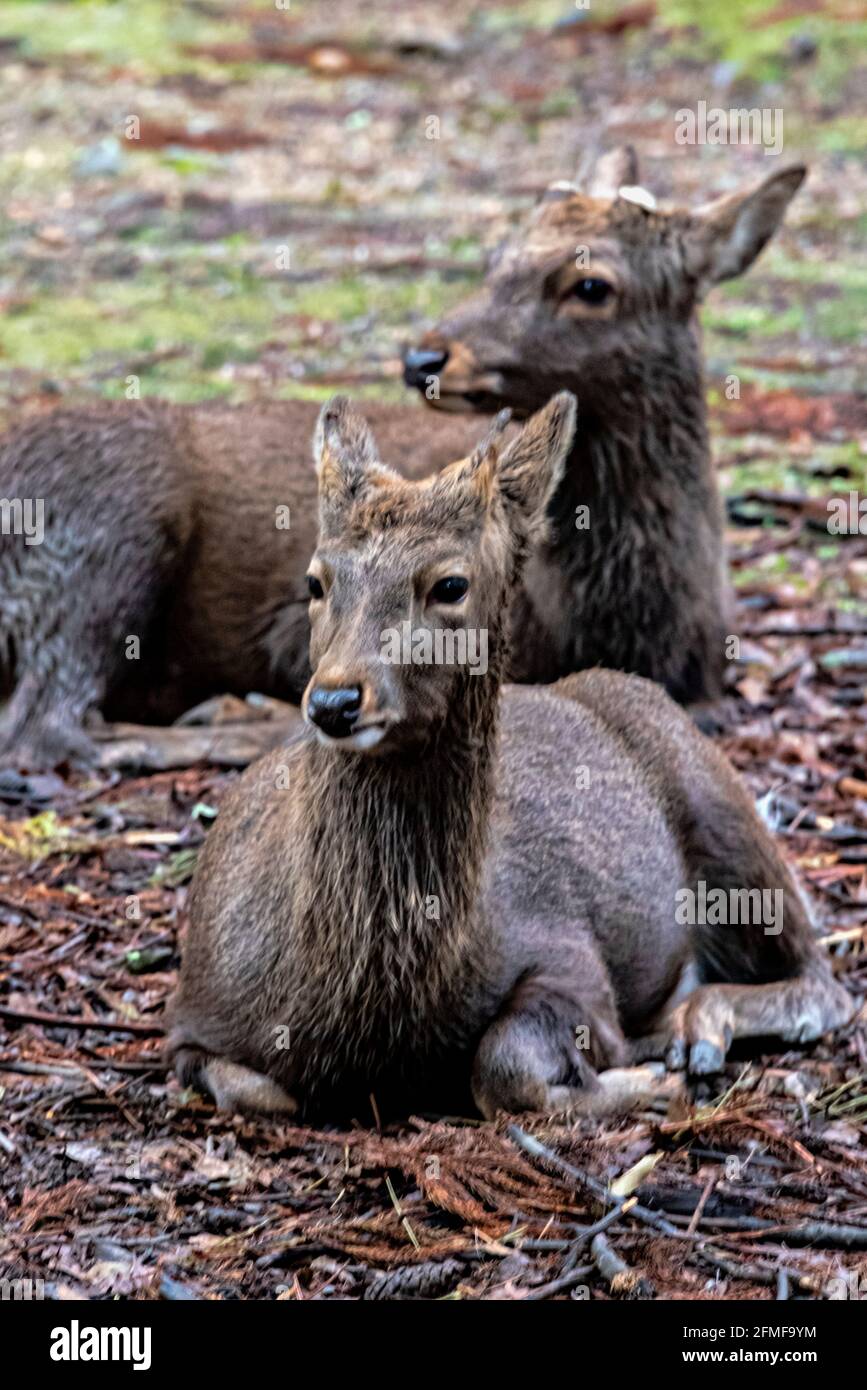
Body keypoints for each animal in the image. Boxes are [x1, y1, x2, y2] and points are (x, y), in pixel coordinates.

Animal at [167, 394, 854, 1121]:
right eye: (316, 580)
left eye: (450, 584)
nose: (333, 700)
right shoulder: (192, 1012)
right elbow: (256, 1090)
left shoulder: (568, 954)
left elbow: (501, 1064)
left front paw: (646, 1078)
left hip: (723, 808)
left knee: (819, 975)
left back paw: (693, 1028)